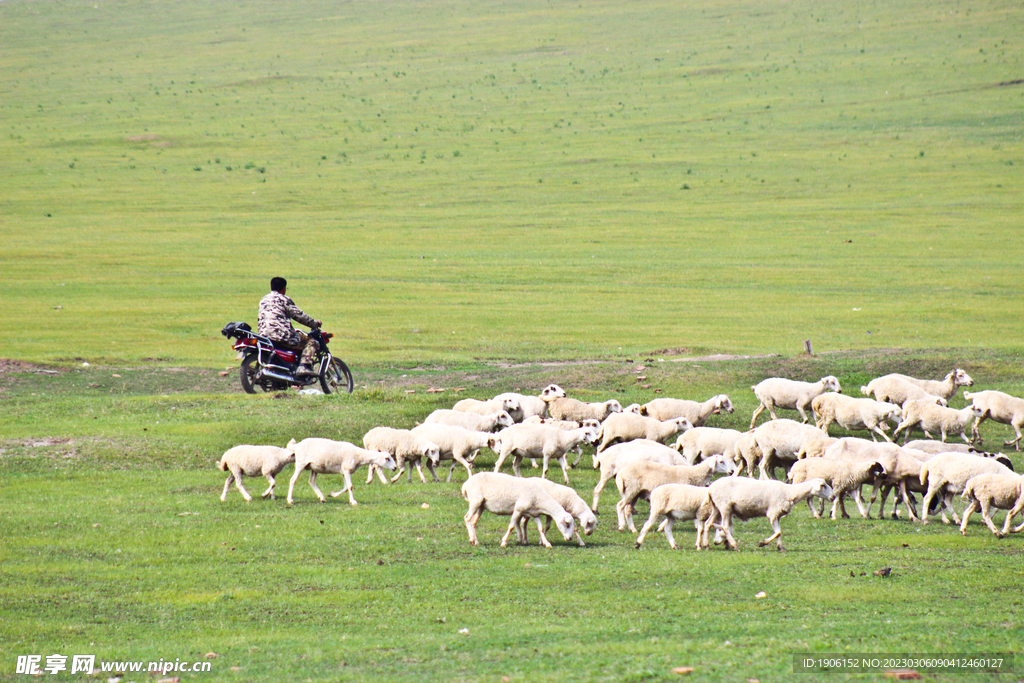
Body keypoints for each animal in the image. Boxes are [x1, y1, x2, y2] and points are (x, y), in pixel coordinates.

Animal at [700, 479, 835, 552]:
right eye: (823, 486)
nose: (833, 496)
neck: (790, 492)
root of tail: (710, 489)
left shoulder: (778, 515)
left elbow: (779, 532)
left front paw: (780, 548)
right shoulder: (773, 513)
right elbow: (778, 532)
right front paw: (762, 543)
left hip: (716, 507)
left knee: (708, 523)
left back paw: (706, 545)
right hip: (725, 507)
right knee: (725, 527)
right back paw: (735, 545)